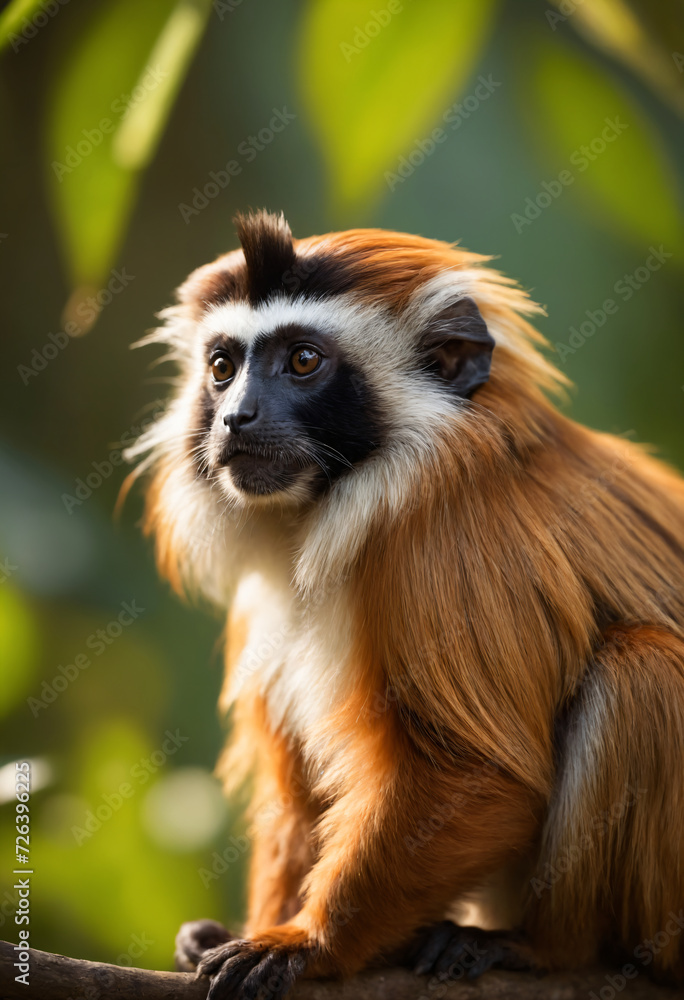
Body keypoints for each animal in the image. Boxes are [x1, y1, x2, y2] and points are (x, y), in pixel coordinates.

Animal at [126, 210, 684, 999]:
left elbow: (479, 776)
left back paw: (544, 948)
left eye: (303, 361)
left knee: (640, 670)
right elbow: (301, 796)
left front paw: (307, 944)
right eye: (223, 367)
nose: (236, 417)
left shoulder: (440, 545)